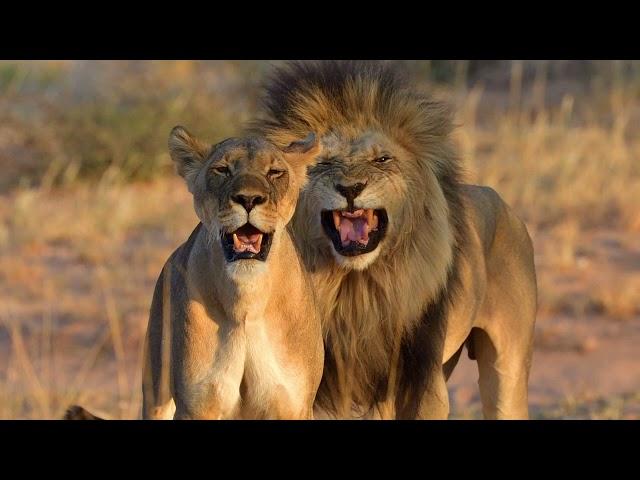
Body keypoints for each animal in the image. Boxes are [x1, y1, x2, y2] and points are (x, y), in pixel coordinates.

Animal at [66, 129, 320, 418]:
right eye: (222, 170)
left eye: (275, 172)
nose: (248, 199)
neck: (246, 299)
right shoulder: (196, 404)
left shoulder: (293, 405)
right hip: (156, 390)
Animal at [248, 61, 536, 420]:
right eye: (323, 163)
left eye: (382, 160)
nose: (351, 188)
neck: (356, 288)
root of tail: (500, 201)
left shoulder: (421, 381)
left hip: (508, 369)